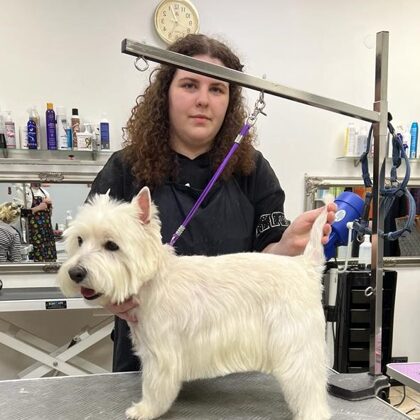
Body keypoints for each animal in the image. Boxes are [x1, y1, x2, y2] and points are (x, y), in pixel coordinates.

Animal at [58, 187, 331, 420]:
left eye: (112, 245)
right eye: (80, 240)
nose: (75, 273)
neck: (154, 279)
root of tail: (306, 266)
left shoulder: (161, 353)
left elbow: (154, 385)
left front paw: (145, 409)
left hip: (296, 343)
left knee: (309, 384)